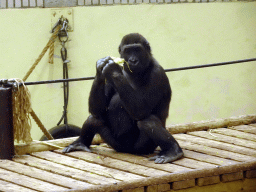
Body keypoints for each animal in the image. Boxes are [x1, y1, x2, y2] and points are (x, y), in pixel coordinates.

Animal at [63, 33, 184, 164]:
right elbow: (97, 110)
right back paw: (80, 143)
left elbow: (141, 111)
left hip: (143, 148)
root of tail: (128, 151)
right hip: (116, 145)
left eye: (137, 50)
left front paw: (113, 69)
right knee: (94, 118)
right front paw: (100, 67)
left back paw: (173, 150)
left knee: (147, 121)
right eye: (128, 51)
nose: (133, 60)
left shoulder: (157, 74)